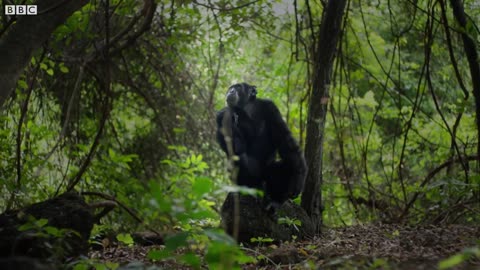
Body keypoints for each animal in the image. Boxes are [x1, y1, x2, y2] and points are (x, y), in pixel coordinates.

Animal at [217, 82, 308, 211]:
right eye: (230, 88)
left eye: (238, 87)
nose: (231, 91)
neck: (246, 107)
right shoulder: (225, 115)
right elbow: (235, 146)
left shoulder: (270, 107)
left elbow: (286, 140)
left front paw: (298, 183)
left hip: (268, 176)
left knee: (287, 164)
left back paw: (276, 201)